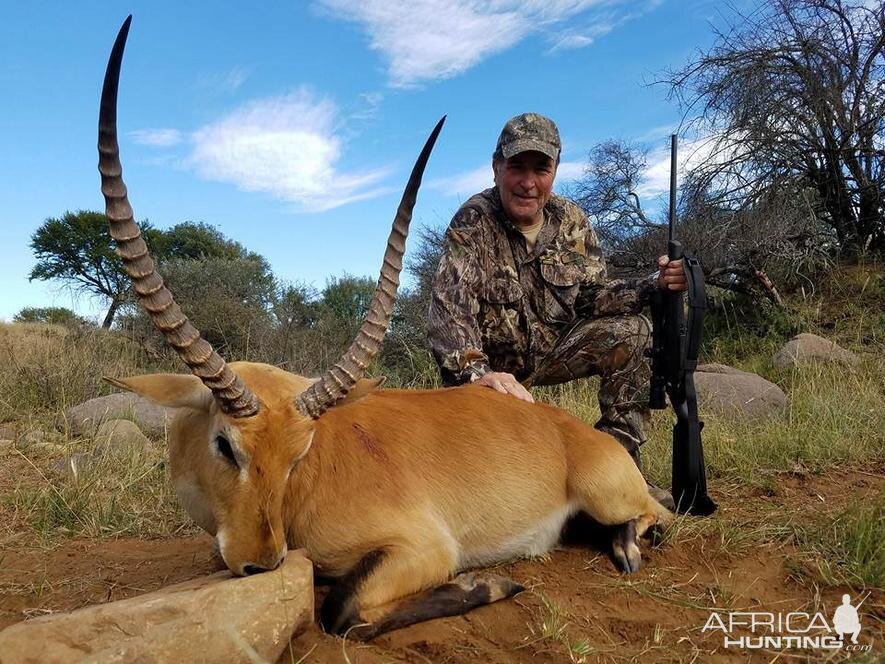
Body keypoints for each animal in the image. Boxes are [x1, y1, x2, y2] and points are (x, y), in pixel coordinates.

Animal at [96, 15, 672, 640]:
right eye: (225, 444)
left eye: (299, 454)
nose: (260, 563)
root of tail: (571, 430)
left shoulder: (424, 550)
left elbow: (342, 611)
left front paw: (490, 584)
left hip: (612, 496)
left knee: (657, 513)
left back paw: (628, 547)